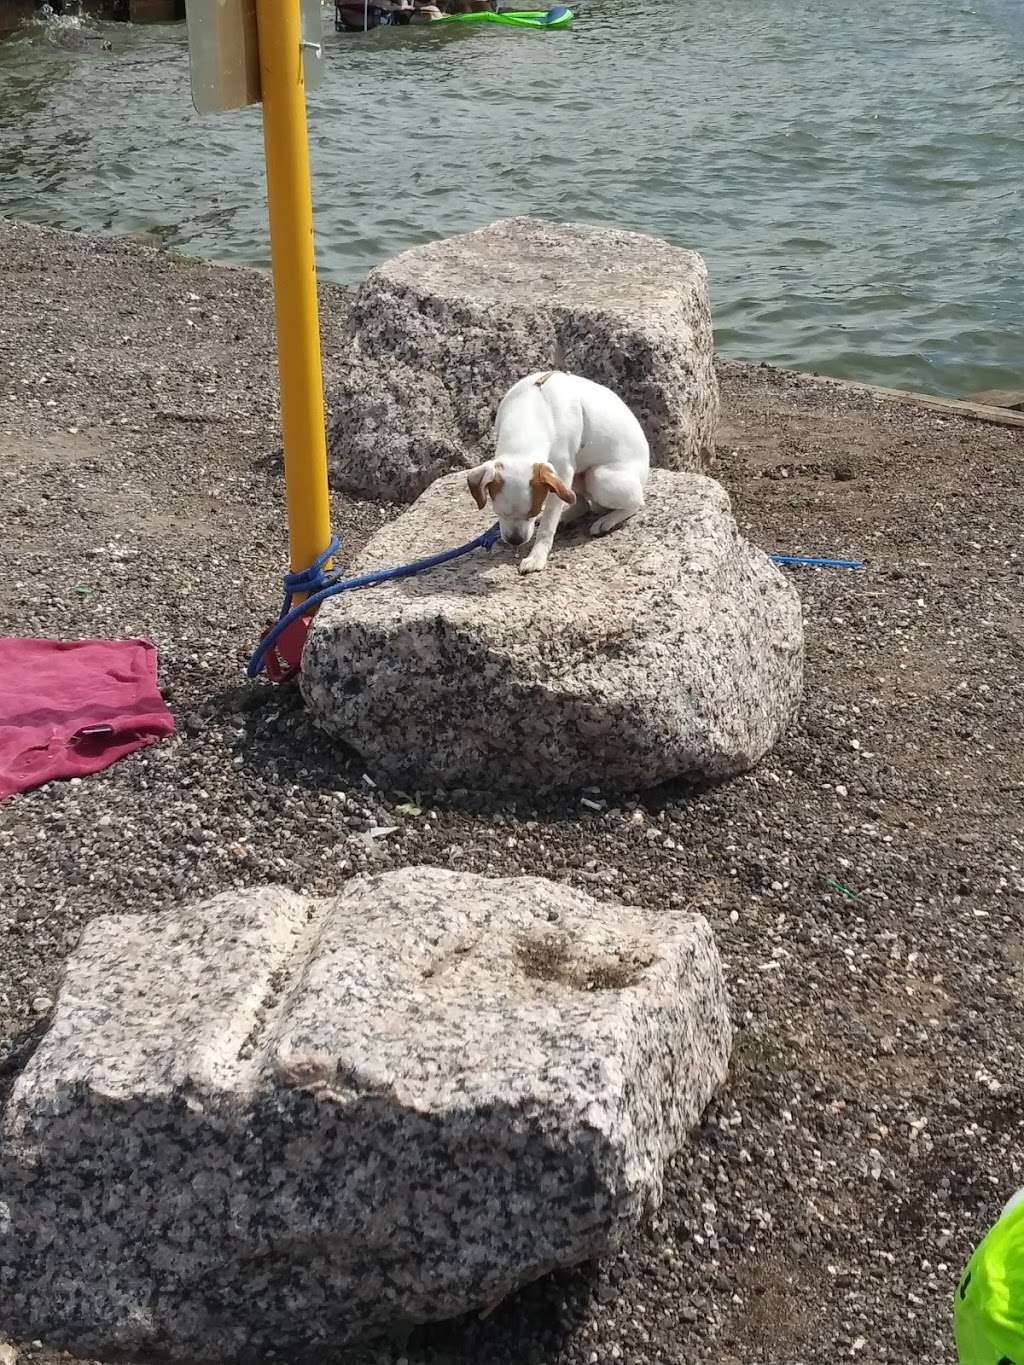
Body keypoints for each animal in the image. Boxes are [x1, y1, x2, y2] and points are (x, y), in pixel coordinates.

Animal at [464, 371, 649, 573]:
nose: (515, 540)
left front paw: (536, 557)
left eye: (534, 511)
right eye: (498, 512)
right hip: (576, 477)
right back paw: (566, 517)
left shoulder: (562, 472)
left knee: (636, 502)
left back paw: (607, 520)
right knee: (581, 504)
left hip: (598, 478)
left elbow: (548, 524)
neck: (530, 411)